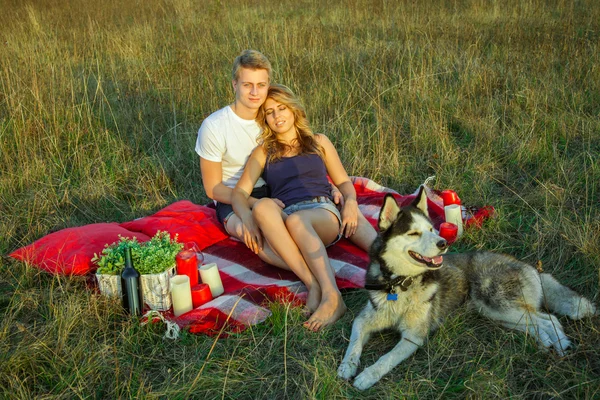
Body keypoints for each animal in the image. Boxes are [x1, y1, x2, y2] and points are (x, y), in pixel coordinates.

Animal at [338, 188, 596, 390]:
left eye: (431, 229)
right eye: (413, 233)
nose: (443, 243)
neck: (400, 284)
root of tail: (528, 266)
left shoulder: (413, 336)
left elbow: (386, 358)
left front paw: (366, 376)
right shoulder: (364, 319)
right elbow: (354, 342)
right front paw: (346, 367)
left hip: (498, 303)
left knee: (549, 318)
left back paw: (560, 343)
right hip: (497, 313)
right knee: (537, 323)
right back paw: (547, 342)